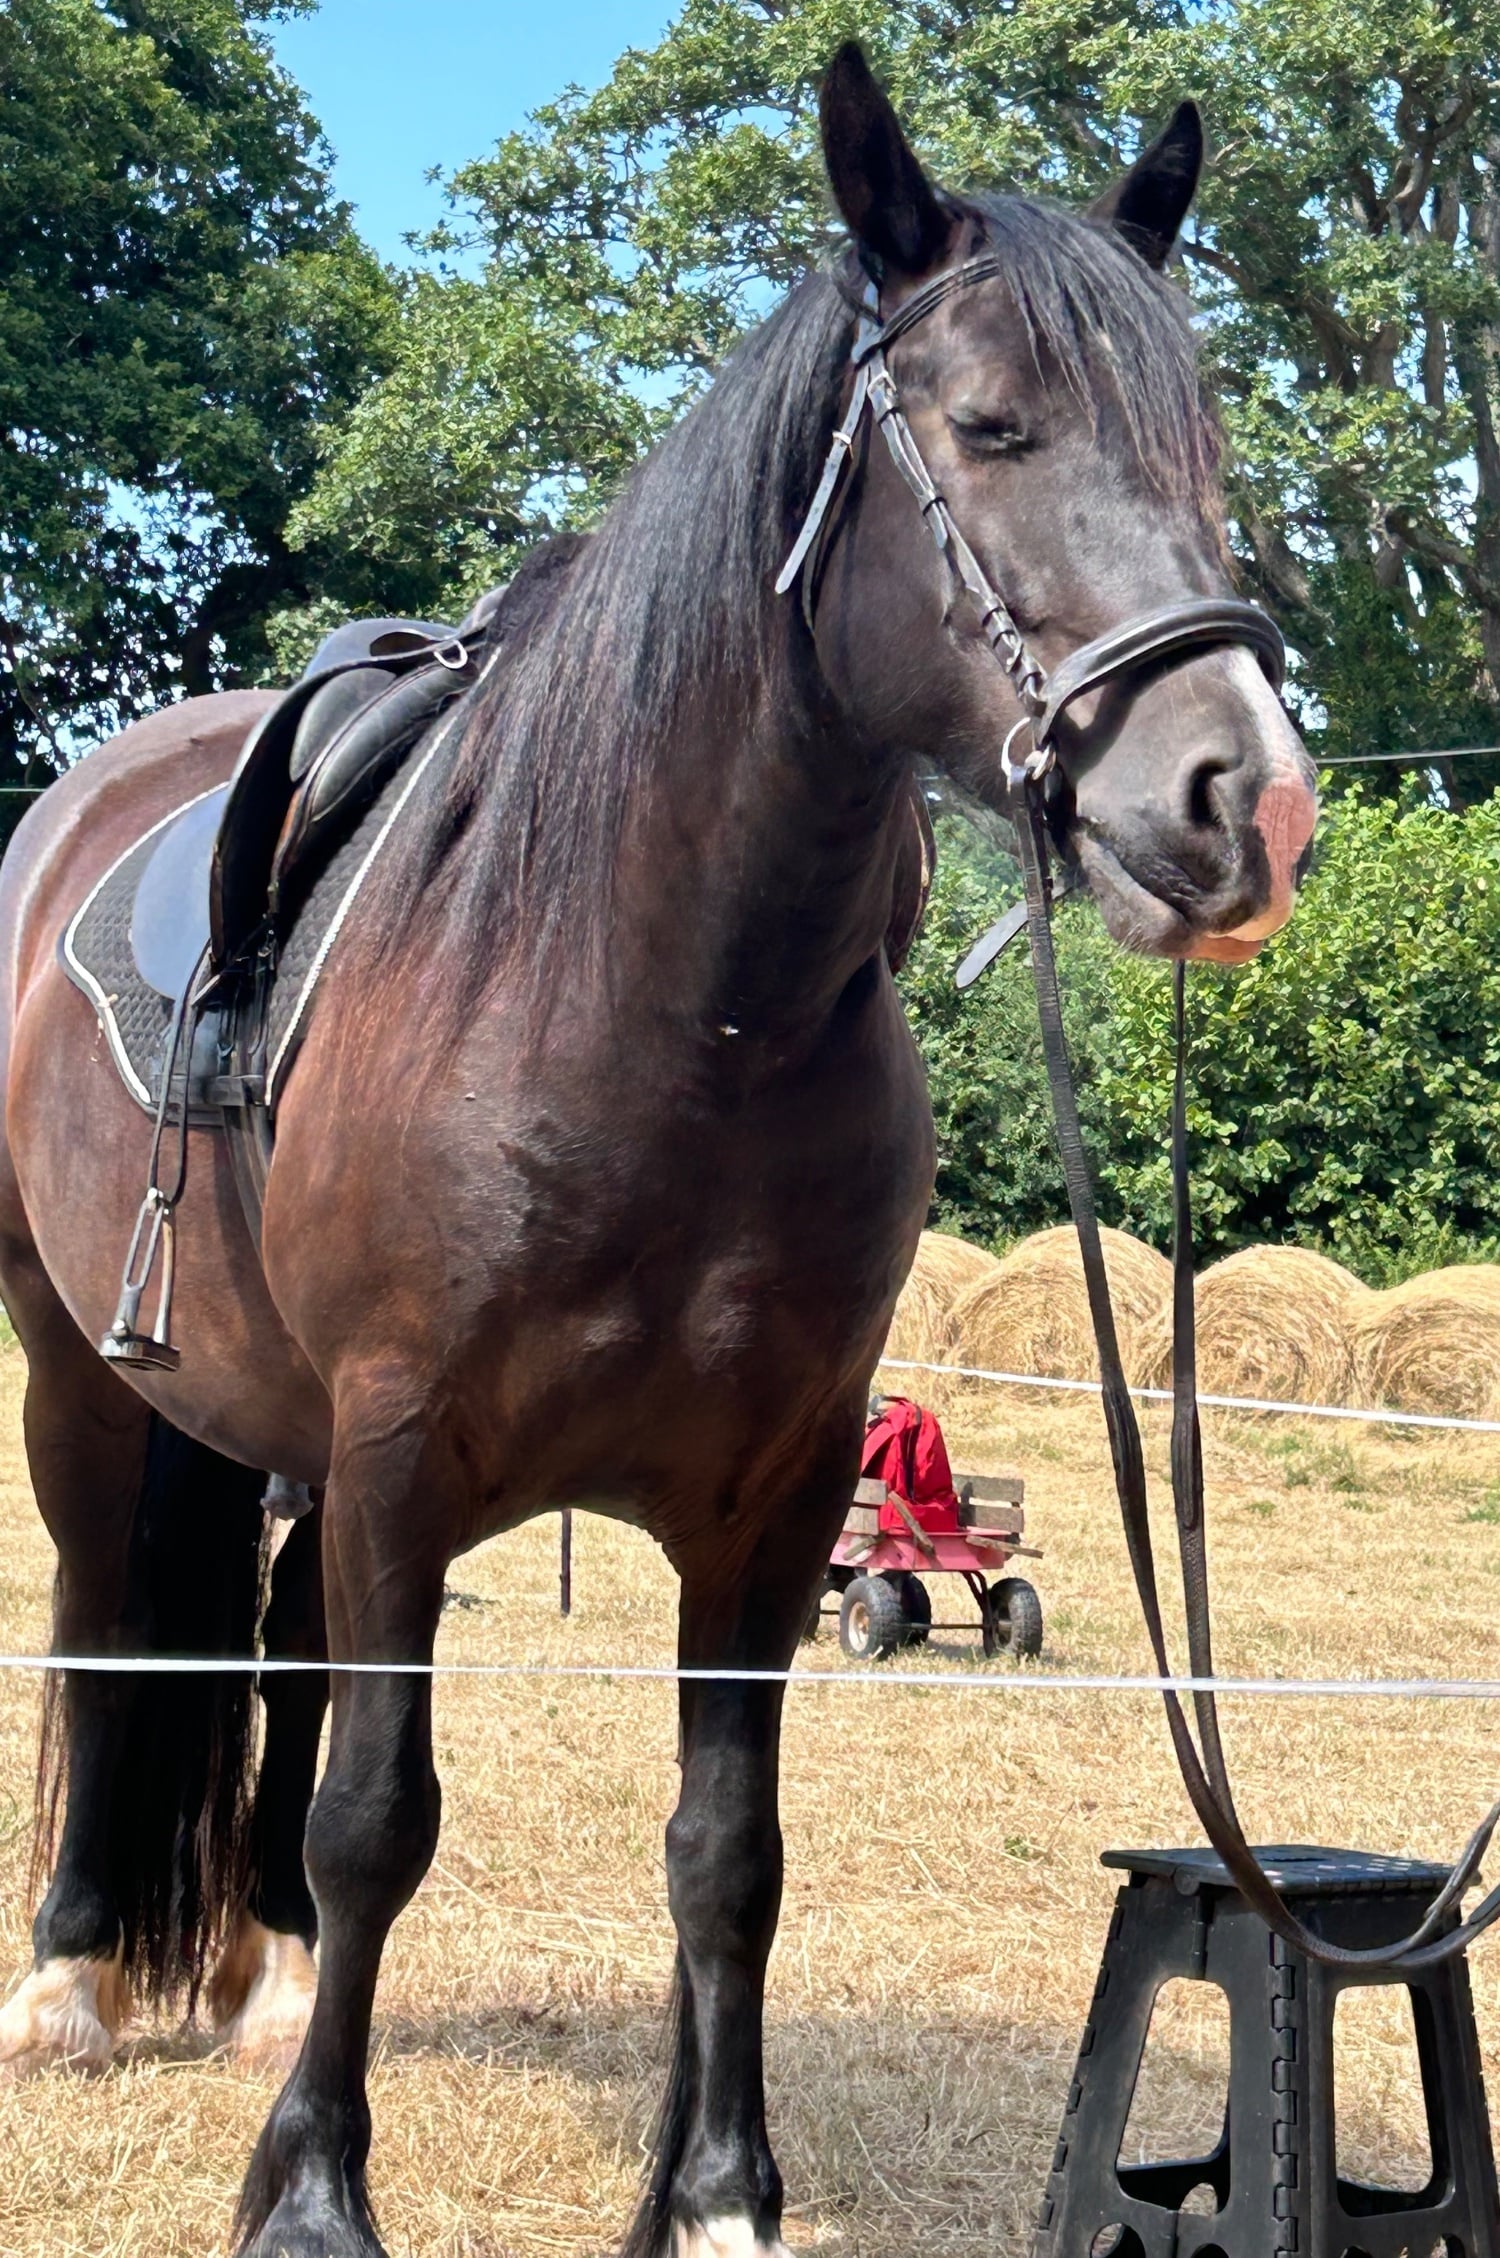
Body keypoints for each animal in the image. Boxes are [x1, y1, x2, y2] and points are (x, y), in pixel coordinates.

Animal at [0, 43, 1315, 2258]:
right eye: (989, 425)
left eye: (1206, 445)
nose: (1253, 806)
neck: (664, 1016)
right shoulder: (400, 1453)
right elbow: (380, 1816)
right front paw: (316, 2194)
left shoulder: (775, 1498)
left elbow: (727, 1844)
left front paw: (714, 2195)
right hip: (83, 1378)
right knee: (114, 1622)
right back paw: (76, 1976)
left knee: (269, 1660)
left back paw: (251, 1970)